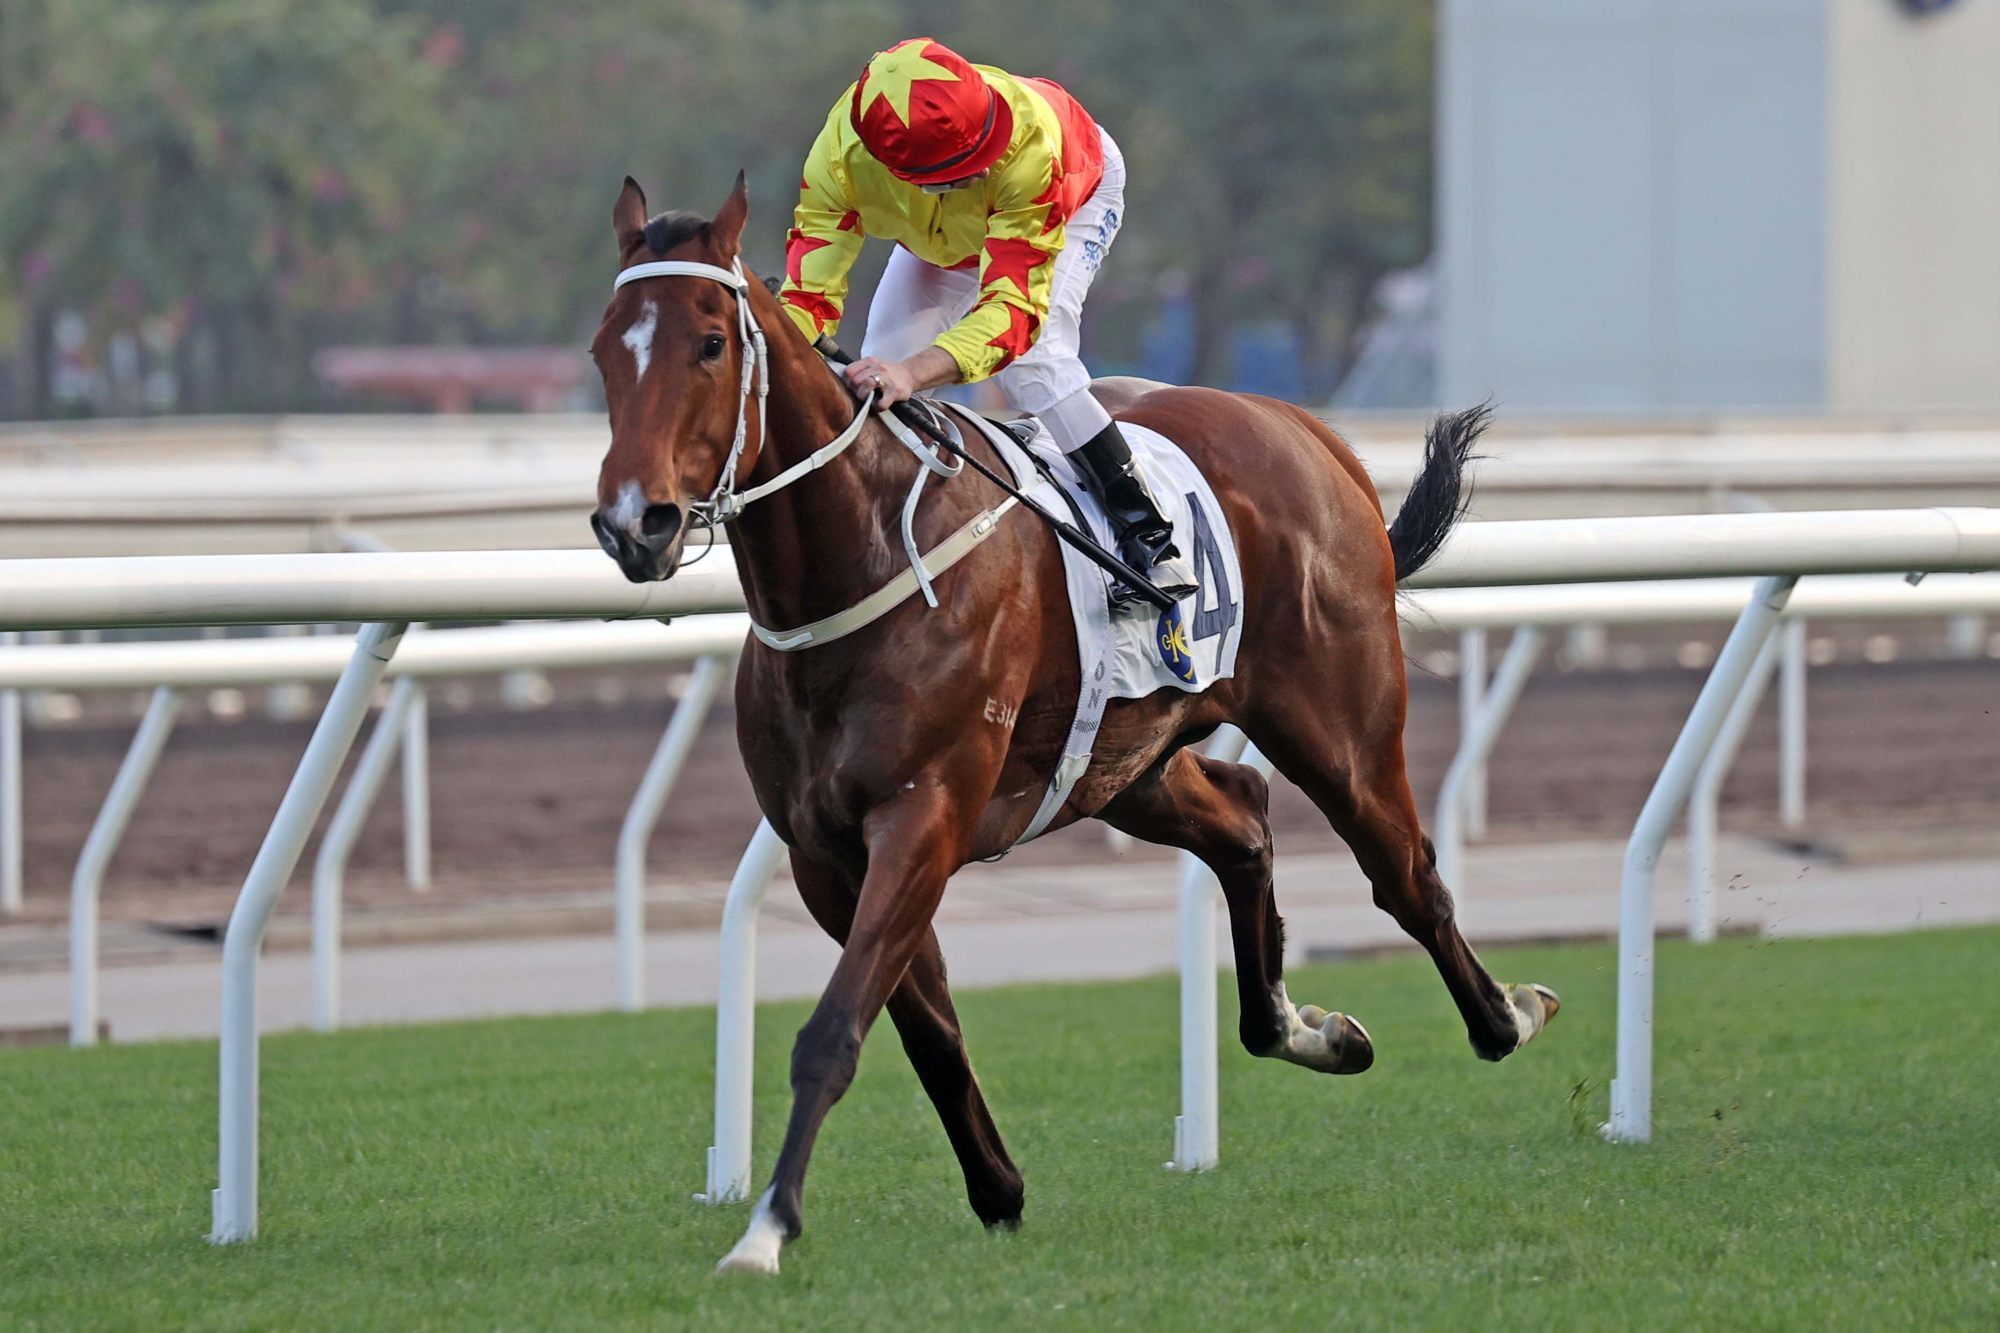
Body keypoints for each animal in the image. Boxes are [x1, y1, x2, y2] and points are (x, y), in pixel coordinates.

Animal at [592, 174, 1560, 1264]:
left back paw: (1504, 1013)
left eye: (710, 342)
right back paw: (1299, 1026)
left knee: (1405, 873)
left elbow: (836, 1027)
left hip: (1340, 724)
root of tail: (1309, 433)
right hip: (1123, 764)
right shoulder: (824, 852)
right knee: (1241, 812)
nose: (634, 522)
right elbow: (924, 1027)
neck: (864, 555)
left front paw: (766, 1227)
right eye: (602, 348)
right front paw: (998, 1187)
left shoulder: (921, 818)